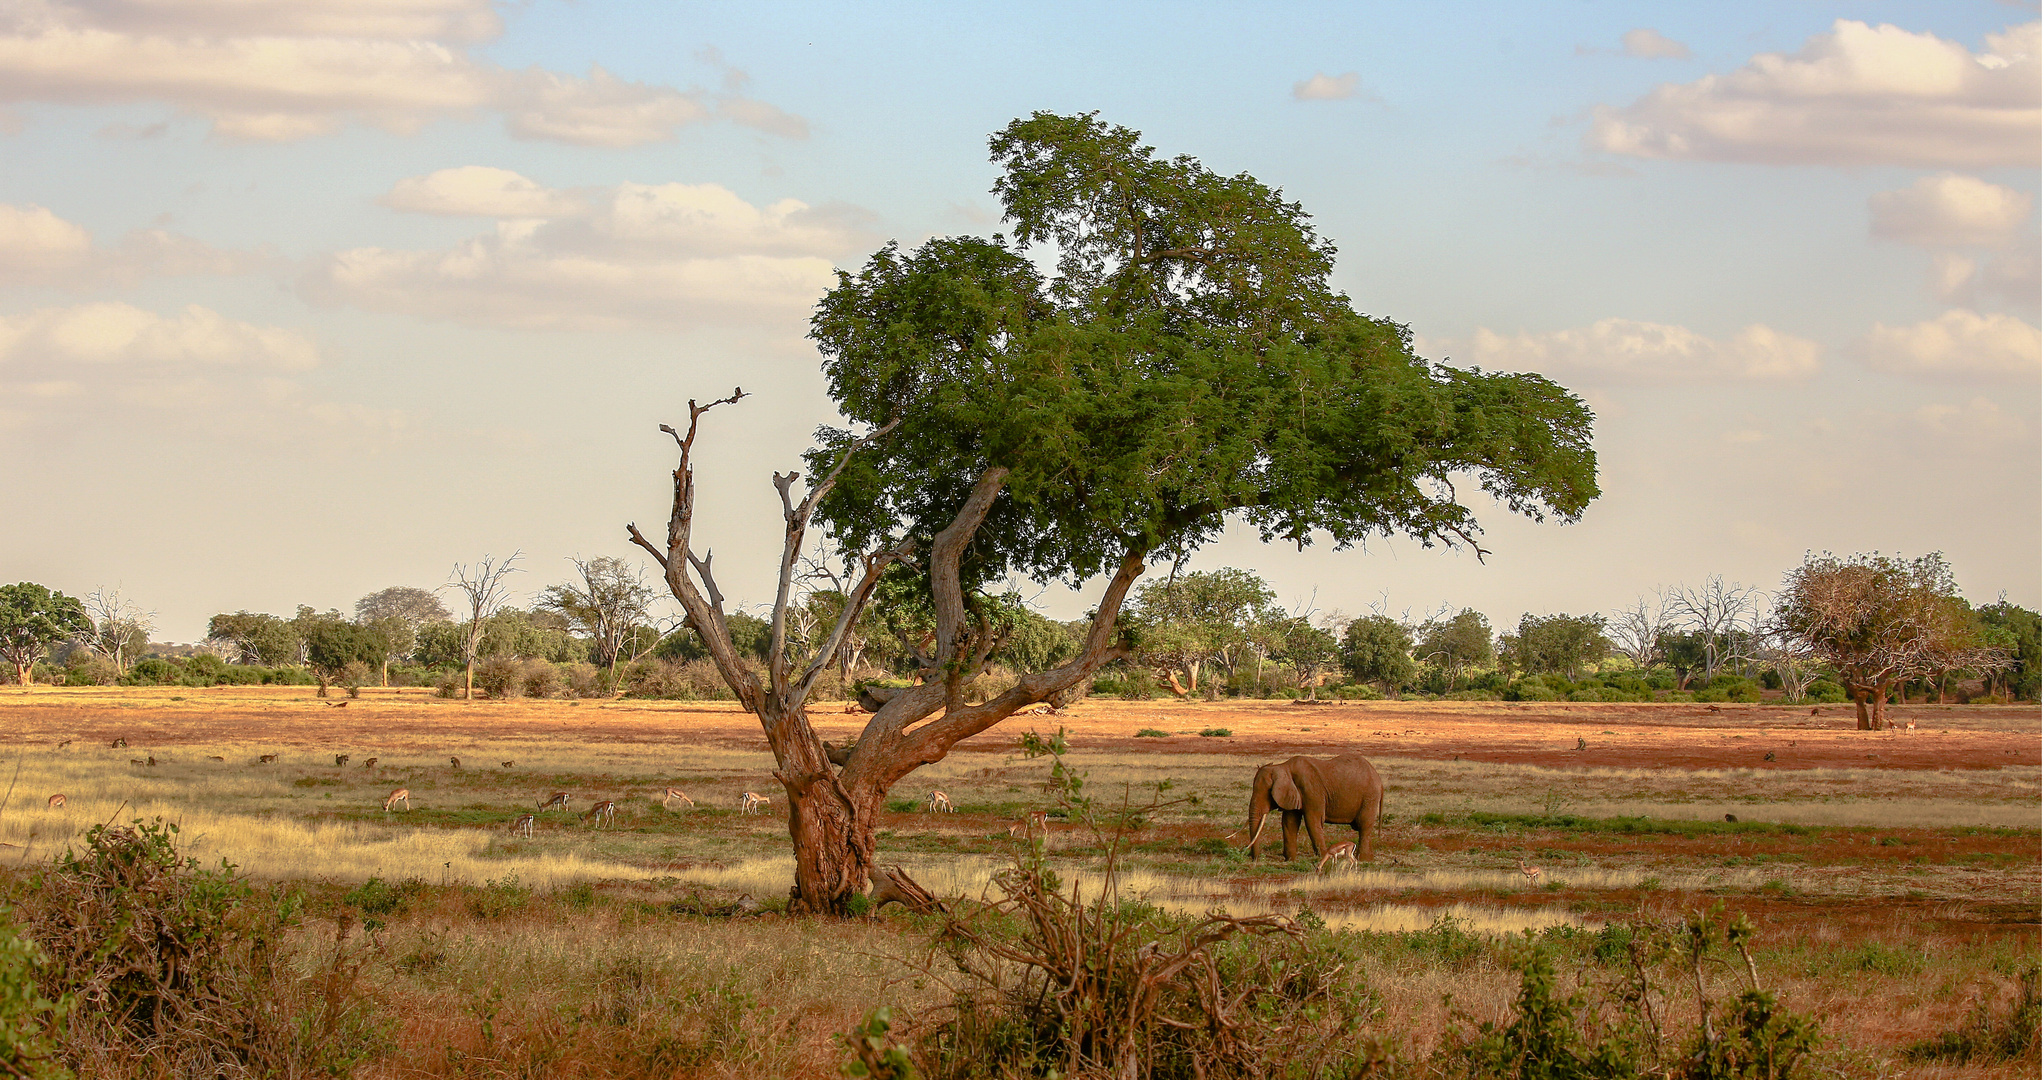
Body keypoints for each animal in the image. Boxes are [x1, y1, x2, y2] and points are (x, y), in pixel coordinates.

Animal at [1234, 756, 1381, 863]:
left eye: (1268, 792)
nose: (1256, 859)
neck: (1283, 767)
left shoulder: (1311, 790)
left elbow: (1313, 821)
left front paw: (1323, 857)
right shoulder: (1293, 794)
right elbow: (1289, 823)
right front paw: (1290, 860)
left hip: (1370, 796)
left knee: (1364, 826)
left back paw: (1364, 860)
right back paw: (1369, 859)